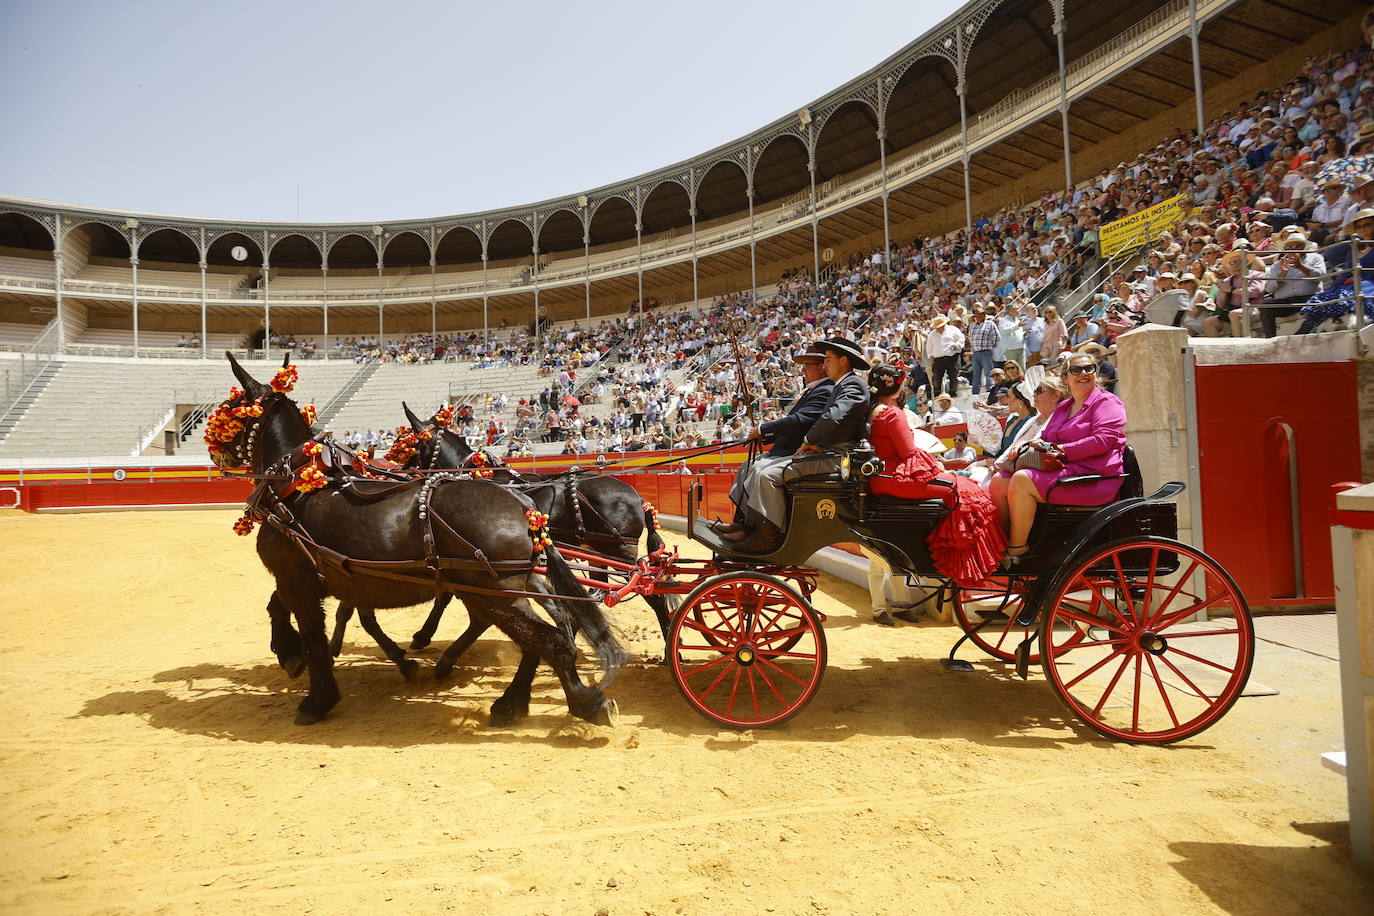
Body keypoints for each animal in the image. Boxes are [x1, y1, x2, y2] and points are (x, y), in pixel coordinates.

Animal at [208, 354, 623, 725]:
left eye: (228, 407)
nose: (213, 449)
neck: (296, 487)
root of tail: (523, 506)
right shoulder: (320, 580)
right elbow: (282, 609)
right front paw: (291, 654)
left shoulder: (297, 579)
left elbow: (310, 635)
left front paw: (316, 694)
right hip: (495, 590)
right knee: (539, 636)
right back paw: (512, 699)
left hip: (497, 592)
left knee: (549, 640)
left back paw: (578, 701)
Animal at [332, 403, 676, 681]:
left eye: (409, 446)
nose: (391, 473)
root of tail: (638, 497)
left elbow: (445, 597)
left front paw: (422, 637)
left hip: (620, 552)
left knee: (655, 596)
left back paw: (669, 648)